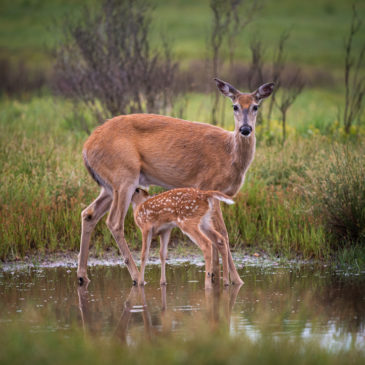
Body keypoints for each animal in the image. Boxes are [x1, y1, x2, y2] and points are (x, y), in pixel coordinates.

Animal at [77, 78, 272, 286]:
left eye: (256, 106)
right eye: (235, 106)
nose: (245, 129)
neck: (231, 155)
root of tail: (86, 147)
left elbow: (217, 236)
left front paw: (218, 277)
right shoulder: (210, 186)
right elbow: (224, 234)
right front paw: (235, 280)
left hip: (109, 186)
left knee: (89, 214)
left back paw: (82, 276)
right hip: (124, 175)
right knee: (114, 222)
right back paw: (137, 277)